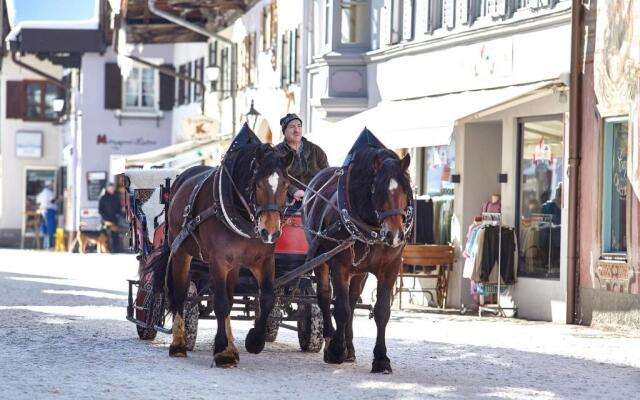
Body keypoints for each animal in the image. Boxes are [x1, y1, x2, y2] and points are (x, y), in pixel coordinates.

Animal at [162, 135, 292, 368]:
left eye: (286, 185)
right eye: (258, 183)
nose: (270, 232)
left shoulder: (264, 260)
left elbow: (266, 298)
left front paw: (253, 341)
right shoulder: (218, 261)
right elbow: (220, 303)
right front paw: (222, 349)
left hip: (234, 265)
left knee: (231, 300)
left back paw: (231, 348)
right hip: (180, 253)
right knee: (180, 294)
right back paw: (178, 344)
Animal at [304, 136, 412, 374]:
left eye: (406, 190)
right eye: (377, 190)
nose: (394, 235)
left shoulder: (391, 268)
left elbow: (381, 311)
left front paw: (381, 358)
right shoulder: (339, 266)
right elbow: (340, 309)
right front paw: (336, 350)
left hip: (360, 271)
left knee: (353, 301)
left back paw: (349, 348)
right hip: (322, 260)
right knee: (325, 297)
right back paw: (330, 339)